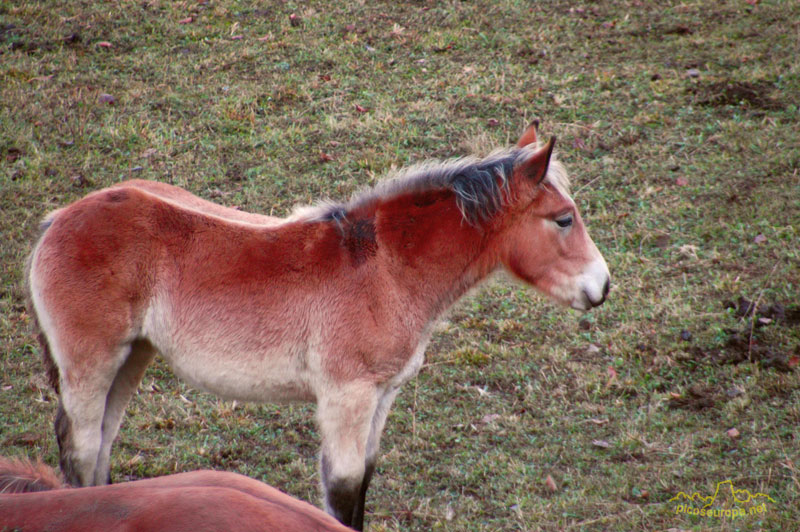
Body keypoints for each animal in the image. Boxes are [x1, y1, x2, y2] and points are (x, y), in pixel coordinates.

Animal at [26, 123, 612, 528]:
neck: (383, 266)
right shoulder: (346, 396)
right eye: (564, 219)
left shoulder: (381, 396)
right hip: (91, 364)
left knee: (100, 445)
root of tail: (57, 220)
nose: (602, 286)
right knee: (81, 447)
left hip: (134, 356)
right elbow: (343, 492)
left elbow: (362, 486)